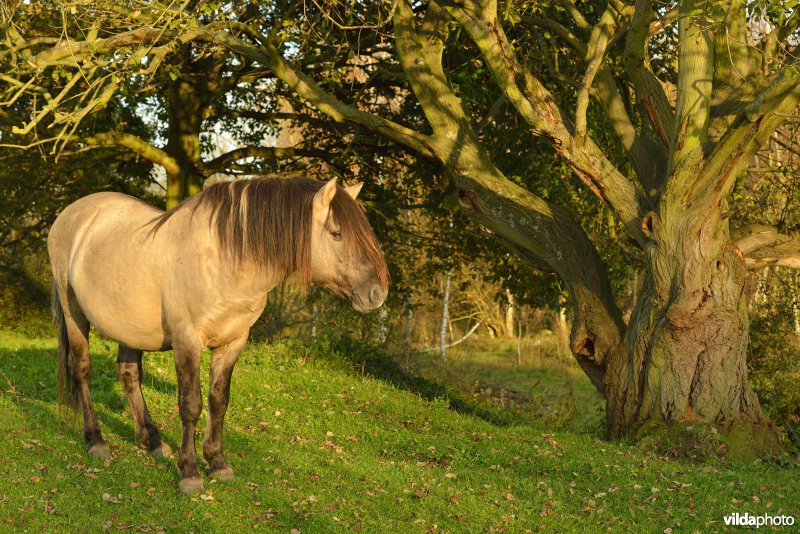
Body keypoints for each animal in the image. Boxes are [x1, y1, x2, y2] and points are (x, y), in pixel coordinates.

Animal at [47, 178, 390, 496]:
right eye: (336, 233)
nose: (376, 294)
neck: (225, 260)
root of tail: (72, 213)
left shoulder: (232, 344)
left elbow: (219, 401)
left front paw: (217, 463)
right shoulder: (187, 342)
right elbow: (191, 405)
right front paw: (189, 472)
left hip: (130, 328)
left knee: (129, 375)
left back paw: (154, 442)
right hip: (73, 313)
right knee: (82, 370)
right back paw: (96, 441)